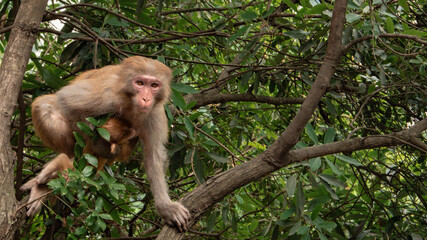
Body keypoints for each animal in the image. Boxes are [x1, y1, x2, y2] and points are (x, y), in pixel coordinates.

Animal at [23, 55, 191, 232]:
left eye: (154, 85)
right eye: (139, 83)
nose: (146, 98)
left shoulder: (154, 115)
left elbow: (154, 156)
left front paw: (166, 208)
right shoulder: (108, 95)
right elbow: (67, 102)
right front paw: (101, 146)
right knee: (46, 107)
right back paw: (59, 167)